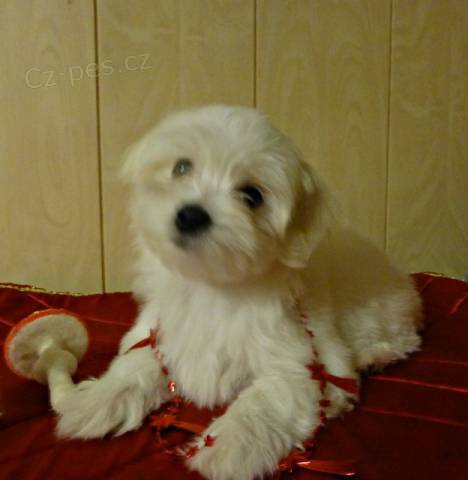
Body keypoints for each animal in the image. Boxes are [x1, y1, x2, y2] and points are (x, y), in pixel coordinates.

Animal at [55, 105, 422, 480]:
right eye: (182, 167)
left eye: (252, 196)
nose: (191, 215)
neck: (212, 284)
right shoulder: (161, 332)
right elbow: (137, 363)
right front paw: (95, 400)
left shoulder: (303, 359)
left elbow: (271, 399)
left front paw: (227, 449)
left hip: (381, 310)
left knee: (402, 338)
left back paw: (374, 355)